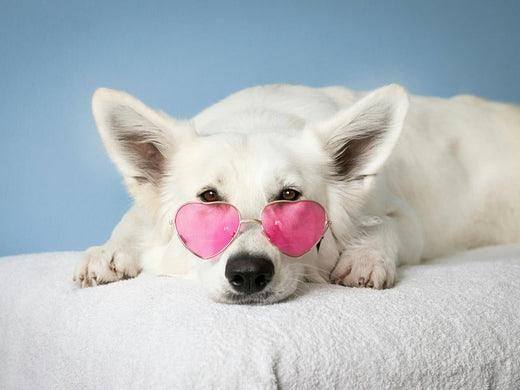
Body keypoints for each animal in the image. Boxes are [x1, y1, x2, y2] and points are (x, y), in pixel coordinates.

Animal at [72, 84, 520, 304]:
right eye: (209, 198)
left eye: (289, 197)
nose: (248, 274)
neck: (259, 115)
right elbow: (132, 219)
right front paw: (108, 251)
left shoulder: (407, 220)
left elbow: (382, 227)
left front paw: (364, 257)